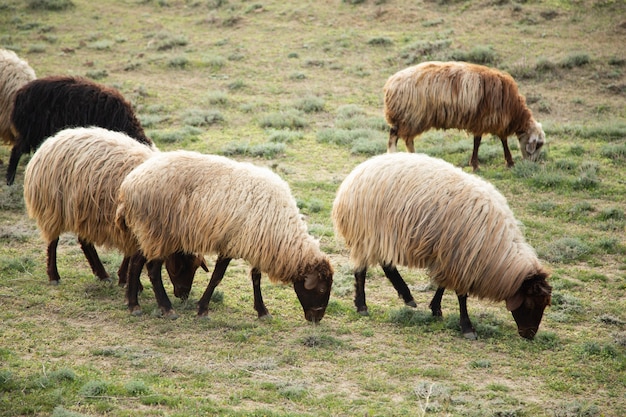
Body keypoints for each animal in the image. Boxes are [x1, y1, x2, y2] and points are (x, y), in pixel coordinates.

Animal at [23, 127, 206, 312]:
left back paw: (102, 274)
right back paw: (54, 275)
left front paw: (125, 280)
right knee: (53, 242)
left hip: (84, 212)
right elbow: (133, 258)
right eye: (182, 265)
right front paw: (133, 284)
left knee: (84, 242)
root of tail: (50, 141)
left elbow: (130, 256)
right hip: (53, 207)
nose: (183, 295)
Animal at [114, 150, 334, 322]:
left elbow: (255, 277)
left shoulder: (255, 243)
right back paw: (167, 309)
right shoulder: (232, 243)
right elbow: (217, 277)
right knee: (152, 269)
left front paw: (262, 311)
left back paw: (133, 305)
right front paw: (202, 309)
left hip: (147, 232)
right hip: (158, 232)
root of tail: (128, 185)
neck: (281, 230)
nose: (317, 319)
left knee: (136, 263)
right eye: (322, 290)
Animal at [330, 153, 548, 338]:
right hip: (367, 234)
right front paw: (467, 327)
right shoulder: (462, 259)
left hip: (382, 237)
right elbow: (461, 295)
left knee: (387, 264)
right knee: (361, 270)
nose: (529, 335)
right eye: (531, 303)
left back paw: (407, 296)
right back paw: (362, 306)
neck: (497, 248)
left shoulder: (450, 256)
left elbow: (443, 285)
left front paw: (436, 309)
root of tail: (355, 174)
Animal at [382, 59, 544, 169]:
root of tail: (390, 84)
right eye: (537, 145)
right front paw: (506, 162)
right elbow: (491, 141)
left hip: (412, 118)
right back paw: (394, 155)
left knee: (407, 139)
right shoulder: (490, 119)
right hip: (410, 116)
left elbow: (482, 141)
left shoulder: (484, 120)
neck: (514, 111)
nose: (534, 163)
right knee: (395, 136)